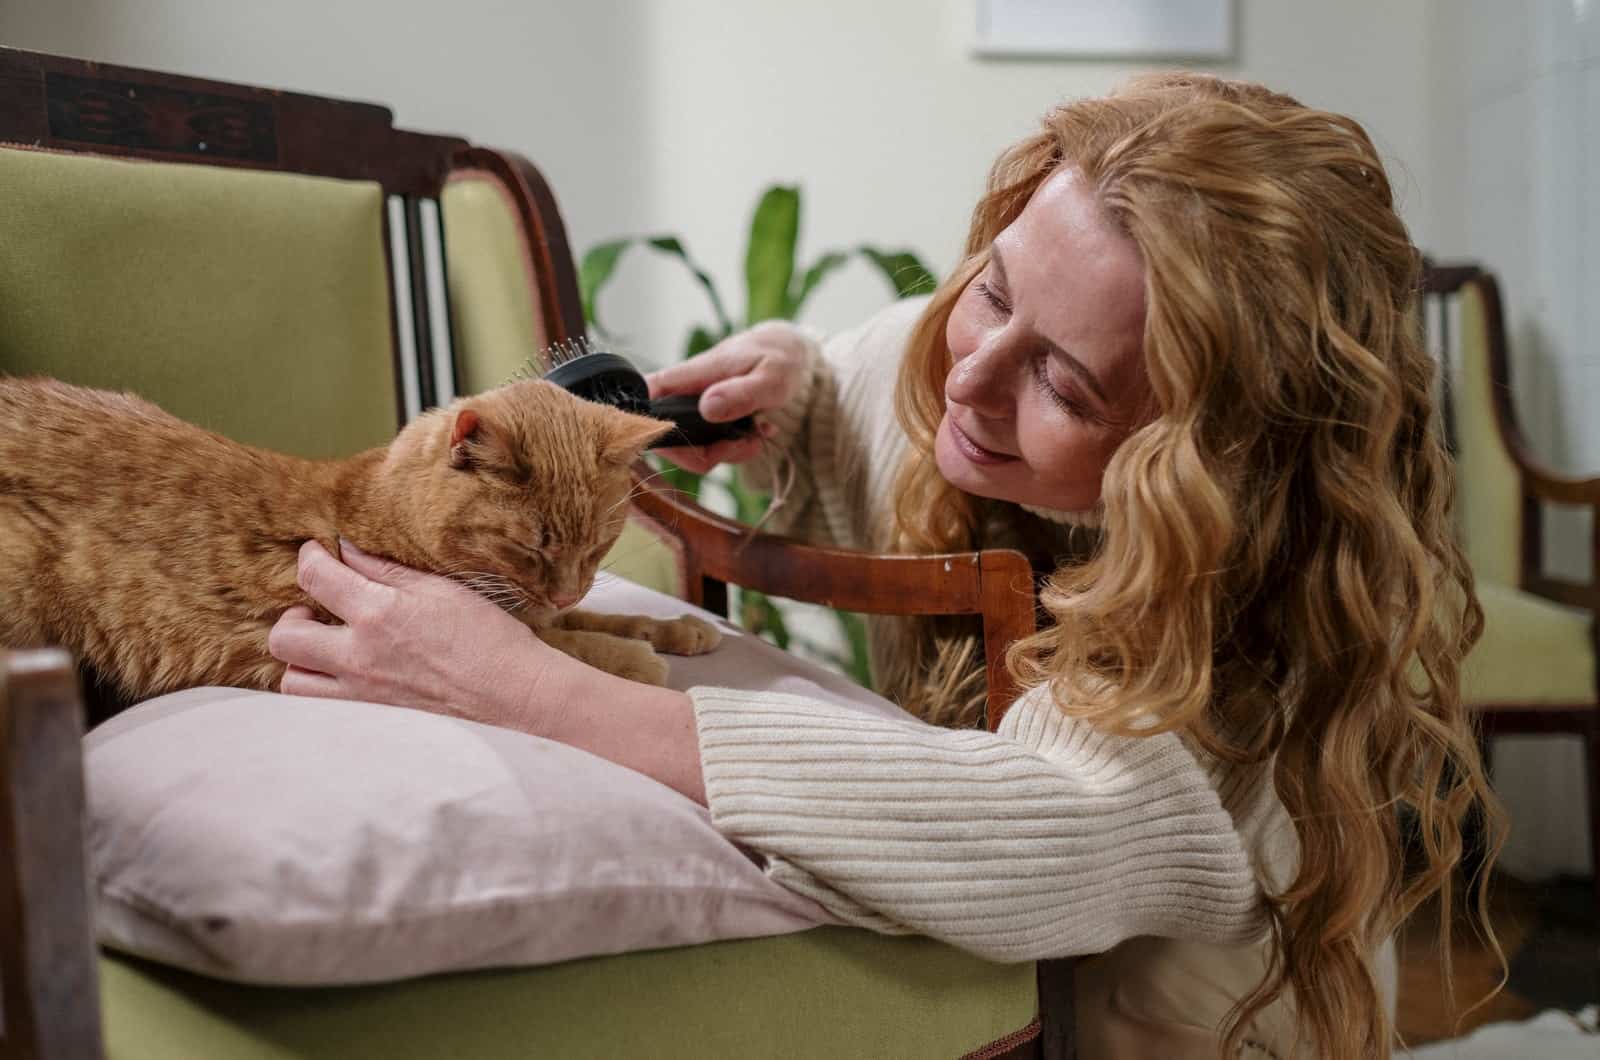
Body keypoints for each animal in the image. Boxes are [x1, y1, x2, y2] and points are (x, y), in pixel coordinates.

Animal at [0, 376, 720, 704]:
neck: (378, 507)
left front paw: (681, 630)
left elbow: (601, 619)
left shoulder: (545, 609)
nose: (567, 586)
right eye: (531, 548)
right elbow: (571, 648)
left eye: (597, 547)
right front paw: (640, 661)